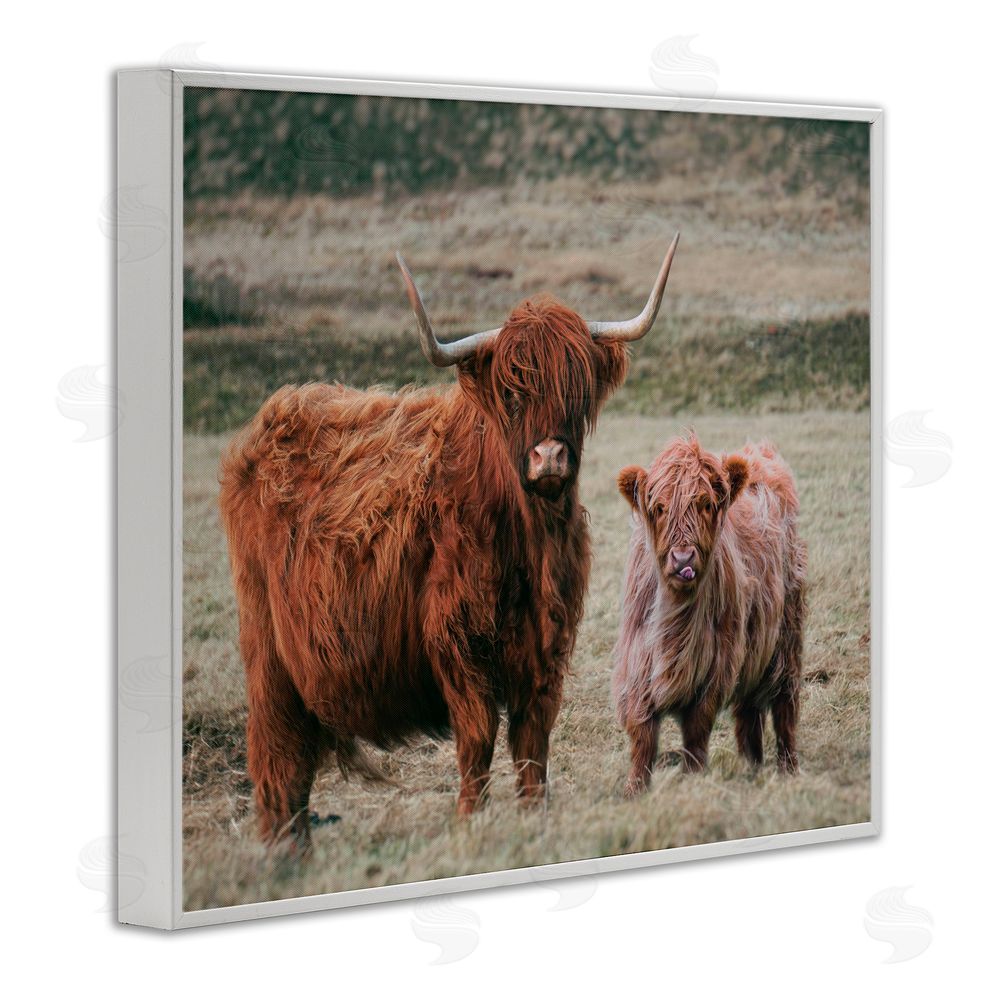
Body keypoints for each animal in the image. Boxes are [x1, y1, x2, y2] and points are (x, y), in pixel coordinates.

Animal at [218, 235, 680, 851]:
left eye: (577, 388)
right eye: (511, 392)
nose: (549, 457)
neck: (527, 544)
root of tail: (274, 418)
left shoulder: (546, 648)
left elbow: (533, 744)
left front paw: (534, 818)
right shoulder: (458, 642)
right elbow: (478, 738)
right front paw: (468, 821)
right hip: (267, 647)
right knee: (276, 754)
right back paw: (284, 852)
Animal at [612, 433, 806, 797]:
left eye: (705, 504)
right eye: (659, 508)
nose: (683, 558)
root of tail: (759, 452)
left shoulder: (715, 668)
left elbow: (696, 733)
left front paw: (692, 779)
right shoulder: (637, 665)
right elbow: (642, 737)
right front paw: (635, 790)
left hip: (787, 634)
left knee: (785, 705)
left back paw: (788, 770)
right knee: (749, 711)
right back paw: (751, 767)